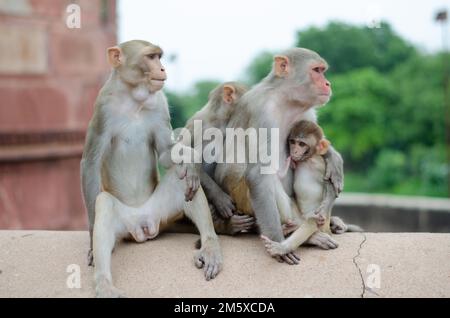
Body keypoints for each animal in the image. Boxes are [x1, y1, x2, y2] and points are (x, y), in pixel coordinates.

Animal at [81, 40, 223, 298]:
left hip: (160, 212)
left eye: (159, 57)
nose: (162, 68)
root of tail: (142, 224)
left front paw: (191, 161)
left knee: (181, 179)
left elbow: (167, 155)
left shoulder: (160, 103)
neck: (133, 100)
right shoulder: (102, 107)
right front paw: (90, 243)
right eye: (150, 57)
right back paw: (104, 283)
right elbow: (91, 163)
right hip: (124, 225)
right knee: (103, 202)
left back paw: (210, 246)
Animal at [215, 48, 344, 264]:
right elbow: (258, 174)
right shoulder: (263, 112)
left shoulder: (306, 112)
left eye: (322, 71)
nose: (328, 83)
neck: (286, 100)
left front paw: (334, 162)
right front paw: (279, 243)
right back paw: (296, 233)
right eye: (317, 70)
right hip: (240, 197)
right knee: (265, 178)